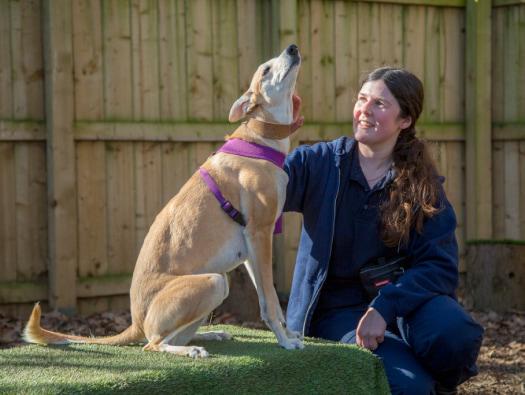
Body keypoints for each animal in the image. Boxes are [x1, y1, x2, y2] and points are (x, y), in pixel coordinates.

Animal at [23, 45, 302, 358]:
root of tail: (135, 322)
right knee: (152, 344)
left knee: (168, 337)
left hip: (217, 281)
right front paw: (285, 340)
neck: (258, 141)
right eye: (265, 69)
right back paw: (191, 350)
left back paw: (210, 334)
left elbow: (266, 300)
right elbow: (272, 302)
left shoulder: (252, 247)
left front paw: (287, 333)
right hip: (214, 281)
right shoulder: (260, 234)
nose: (292, 48)